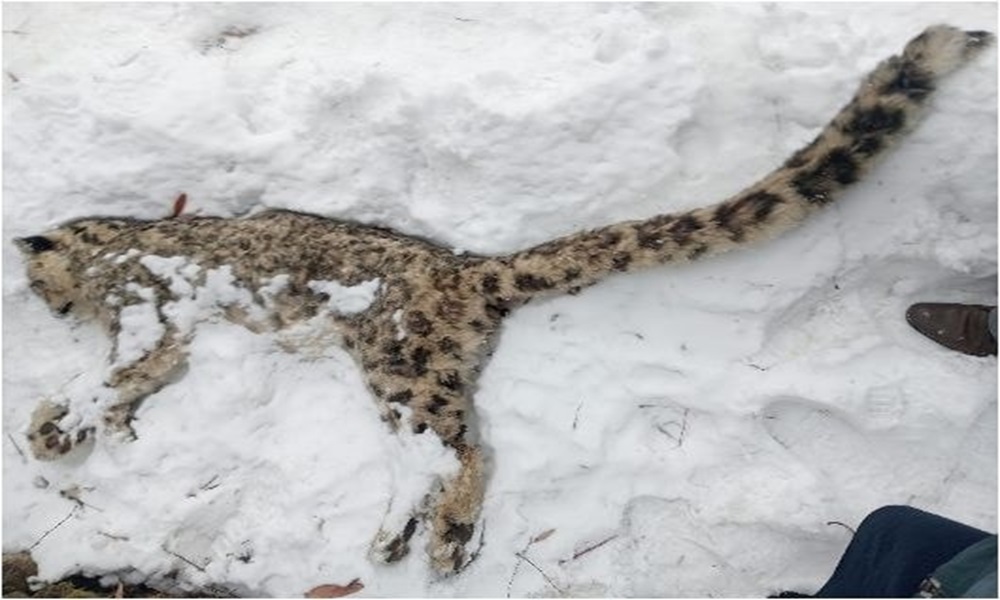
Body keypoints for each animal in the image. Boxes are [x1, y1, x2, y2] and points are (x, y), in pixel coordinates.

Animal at [13, 25, 993, 576]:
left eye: (29, 283)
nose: (48, 314)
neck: (110, 260)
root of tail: (464, 271)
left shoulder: (148, 321)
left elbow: (116, 373)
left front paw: (53, 424)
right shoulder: (164, 342)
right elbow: (127, 389)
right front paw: (93, 427)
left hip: (403, 370)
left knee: (464, 455)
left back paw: (439, 543)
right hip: (403, 386)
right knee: (431, 457)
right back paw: (395, 539)